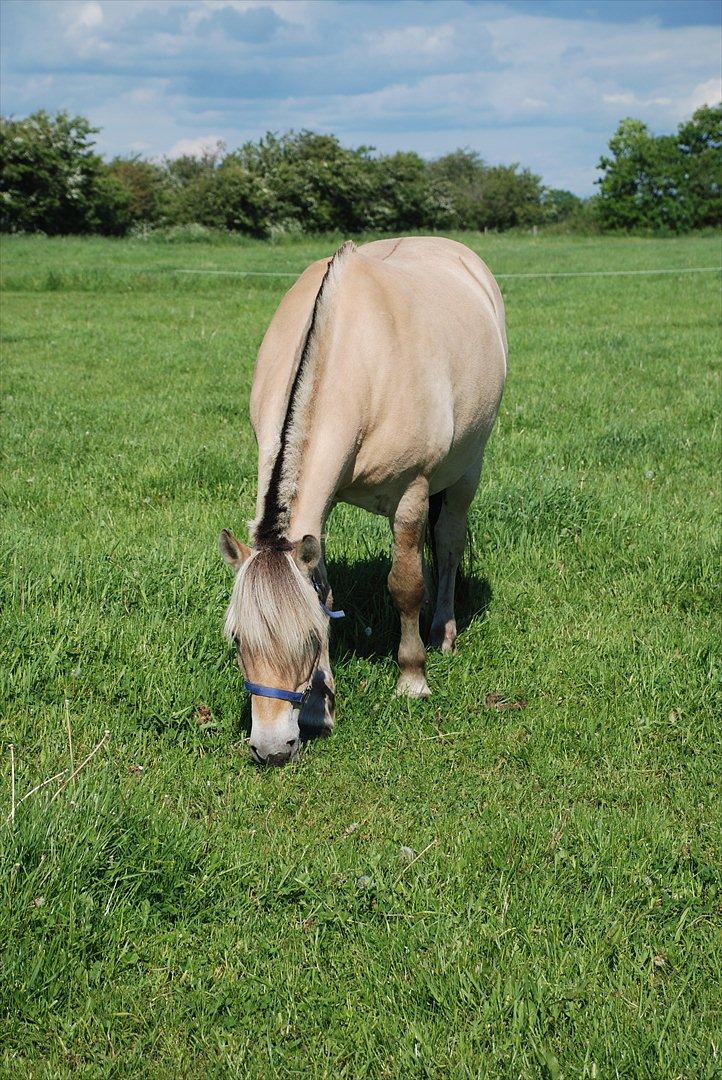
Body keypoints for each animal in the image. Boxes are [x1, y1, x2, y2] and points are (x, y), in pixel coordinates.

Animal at [220, 234, 507, 768]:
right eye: (236, 639)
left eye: (309, 639)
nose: (271, 747)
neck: (356, 358)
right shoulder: (319, 512)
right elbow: (324, 592)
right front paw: (318, 708)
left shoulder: (413, 491)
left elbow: (406, 585)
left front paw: (412, 679)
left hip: (465, 470)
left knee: (448, 544)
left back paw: (442, 630)